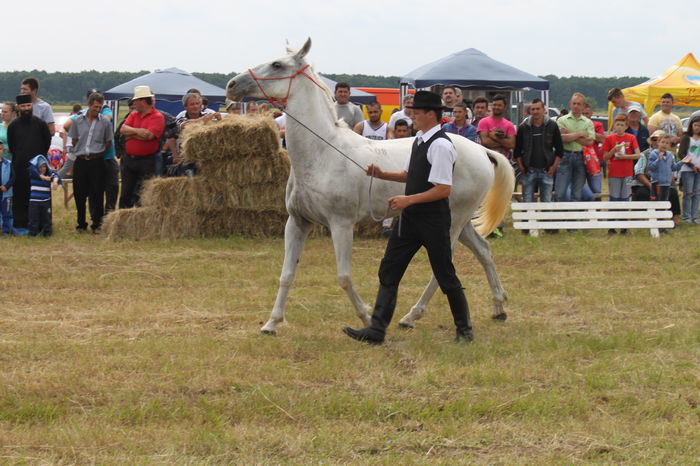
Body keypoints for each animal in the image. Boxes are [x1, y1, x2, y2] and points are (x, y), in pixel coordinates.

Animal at [226, 38, 514, 335]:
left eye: (277, 65)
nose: (232, 85)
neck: (322, 153)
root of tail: (482, 152)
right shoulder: (297, 222)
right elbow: (286, 275)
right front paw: (271, 323)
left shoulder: (341, 224)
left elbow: (343, 276)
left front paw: (365, 317)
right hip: (461, 222)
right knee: (483, 250)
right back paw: (498, 307)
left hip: (451, 223)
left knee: (444, 268)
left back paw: (411, 316)